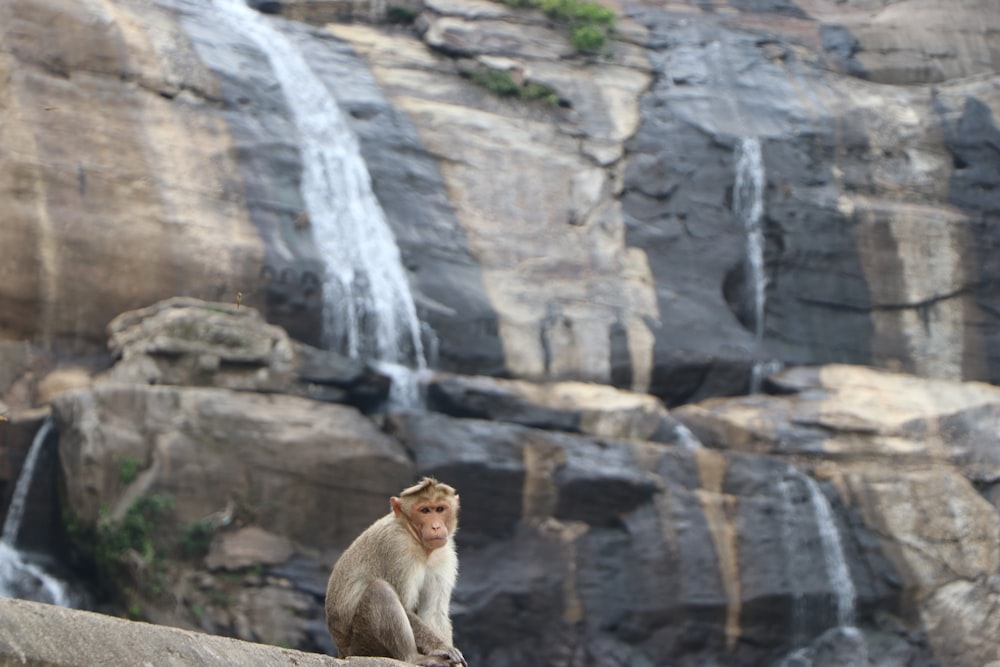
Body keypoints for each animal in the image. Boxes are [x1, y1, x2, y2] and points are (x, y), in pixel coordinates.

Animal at [326, 478, 470, 664]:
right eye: (424, 510)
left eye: (439, 509)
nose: (436, 526)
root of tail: (342, 651)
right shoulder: (397, 547)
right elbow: (405, 605)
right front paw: (442, 647)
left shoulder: (443, 556)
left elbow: (434, 611)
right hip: (363, 645)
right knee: (380, 590)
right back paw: (413, 658)